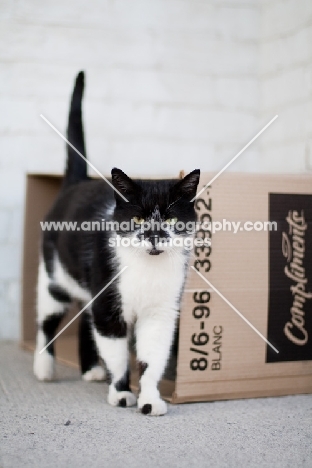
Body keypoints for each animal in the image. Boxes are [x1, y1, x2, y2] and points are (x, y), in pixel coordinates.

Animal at [33, 71, 200, 414]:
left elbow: (151, 358)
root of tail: (75, 184)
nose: (154, 236)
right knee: (47, 320)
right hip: (54, 276)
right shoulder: (109, 302)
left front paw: (149, 399)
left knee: (85, 318)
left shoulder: (161, 311)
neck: (147, 270)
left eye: (172, 221)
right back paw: (43, 367)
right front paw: (122, 392)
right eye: (137, 220)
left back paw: (91, 370)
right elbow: (118, 352)